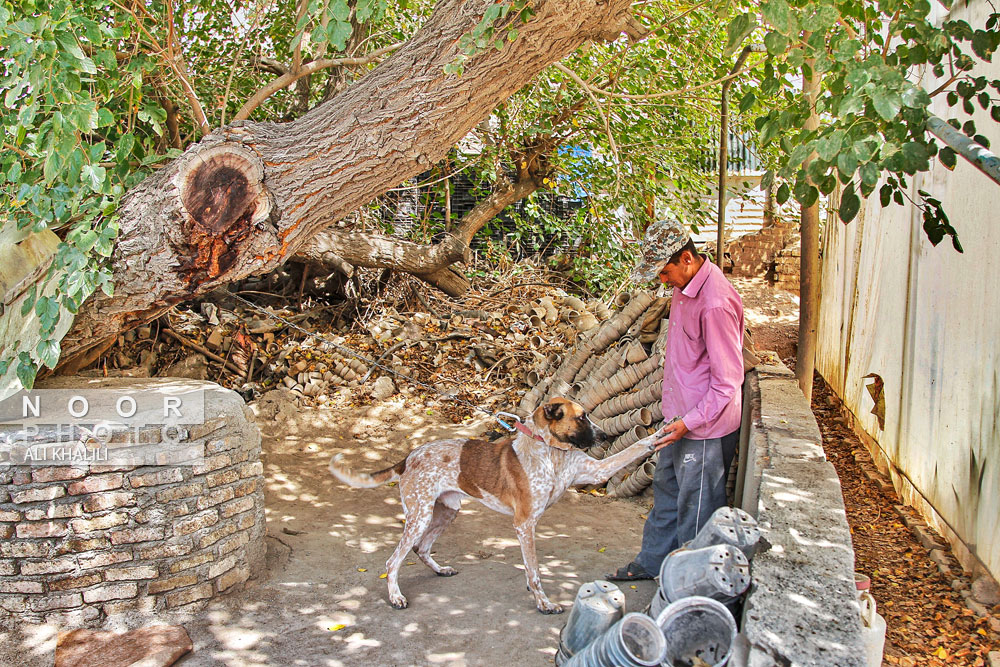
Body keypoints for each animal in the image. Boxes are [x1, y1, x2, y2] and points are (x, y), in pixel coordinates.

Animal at [332, 396, 668, 616]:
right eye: (582, 417)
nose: (606, 435)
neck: (550, 451)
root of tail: (408, 457)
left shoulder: (596, 472)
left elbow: (635, 449)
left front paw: (662, 433)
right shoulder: (525, 523)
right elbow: (534, 571)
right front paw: (543, 603)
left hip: (446, 512)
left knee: (421, 548)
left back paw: (440, 570)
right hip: (420, 516)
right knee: (393, 561)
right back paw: (396, 597)